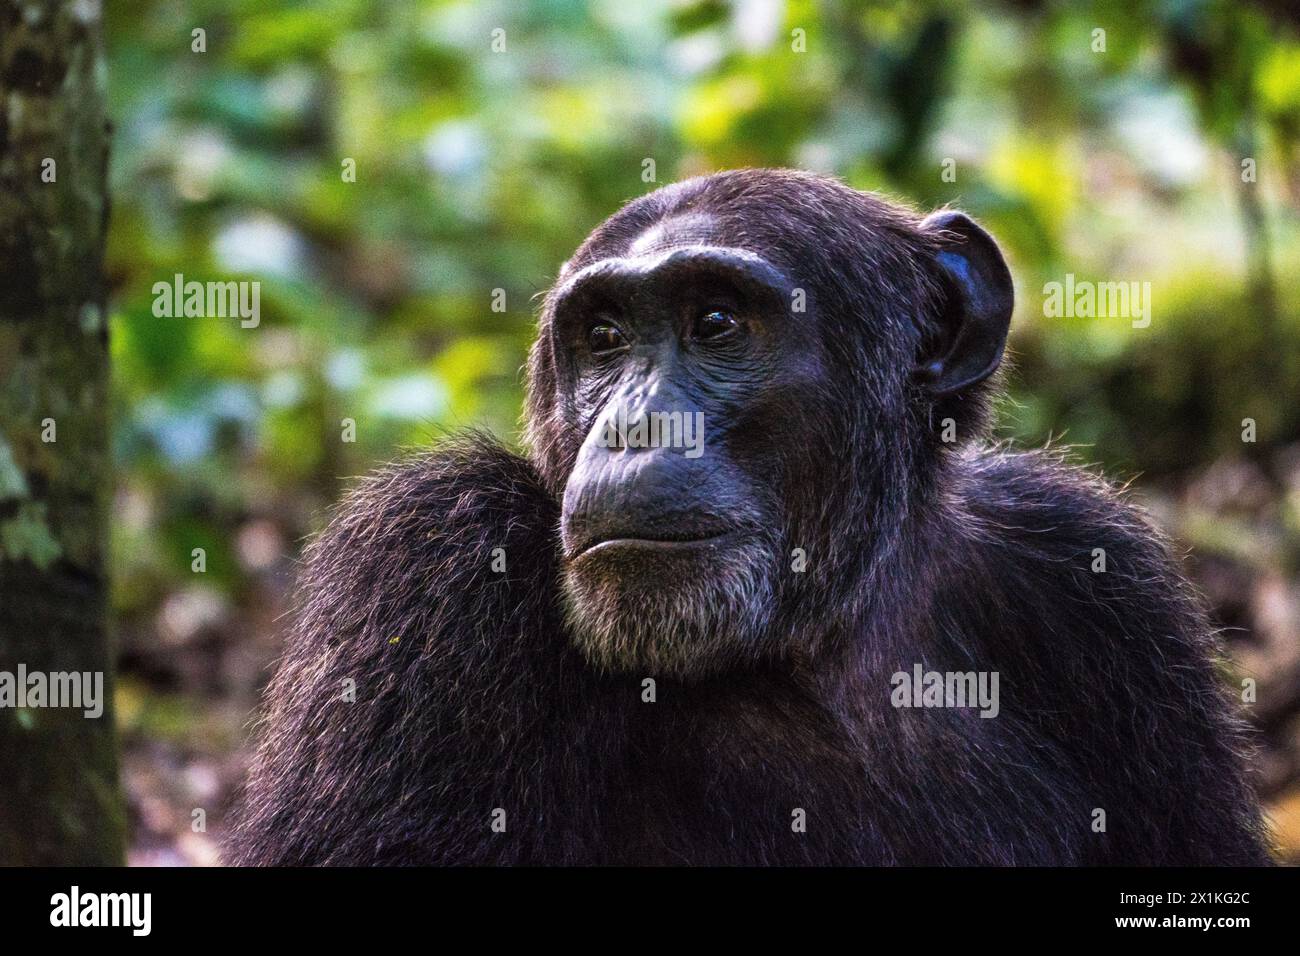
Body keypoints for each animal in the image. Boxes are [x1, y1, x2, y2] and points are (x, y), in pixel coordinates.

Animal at [223, 167, 1268, 863]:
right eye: (605, 337)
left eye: (716, 323)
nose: (635, 425)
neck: (820, 634)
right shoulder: (425, 560)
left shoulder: (1098, 574)